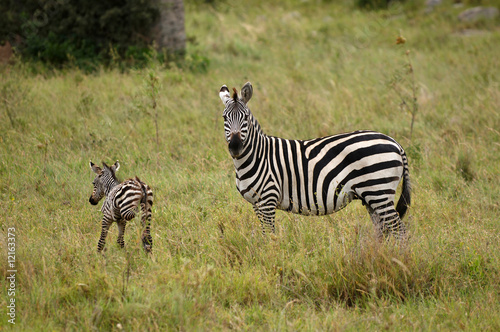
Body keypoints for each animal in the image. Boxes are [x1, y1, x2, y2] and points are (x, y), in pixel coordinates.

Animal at [219, 81, 410, 240]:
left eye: (245, 118)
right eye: (224, 118)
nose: (235, 147)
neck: (257, 156)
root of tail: (395, 142)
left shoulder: (267, 200)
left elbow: (269, 236)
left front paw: (270, 256)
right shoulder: (256, 203)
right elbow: (264, 234)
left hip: (379, 191)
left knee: (400, 230)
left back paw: (399, 258)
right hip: (371, 196)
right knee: (383, 230)